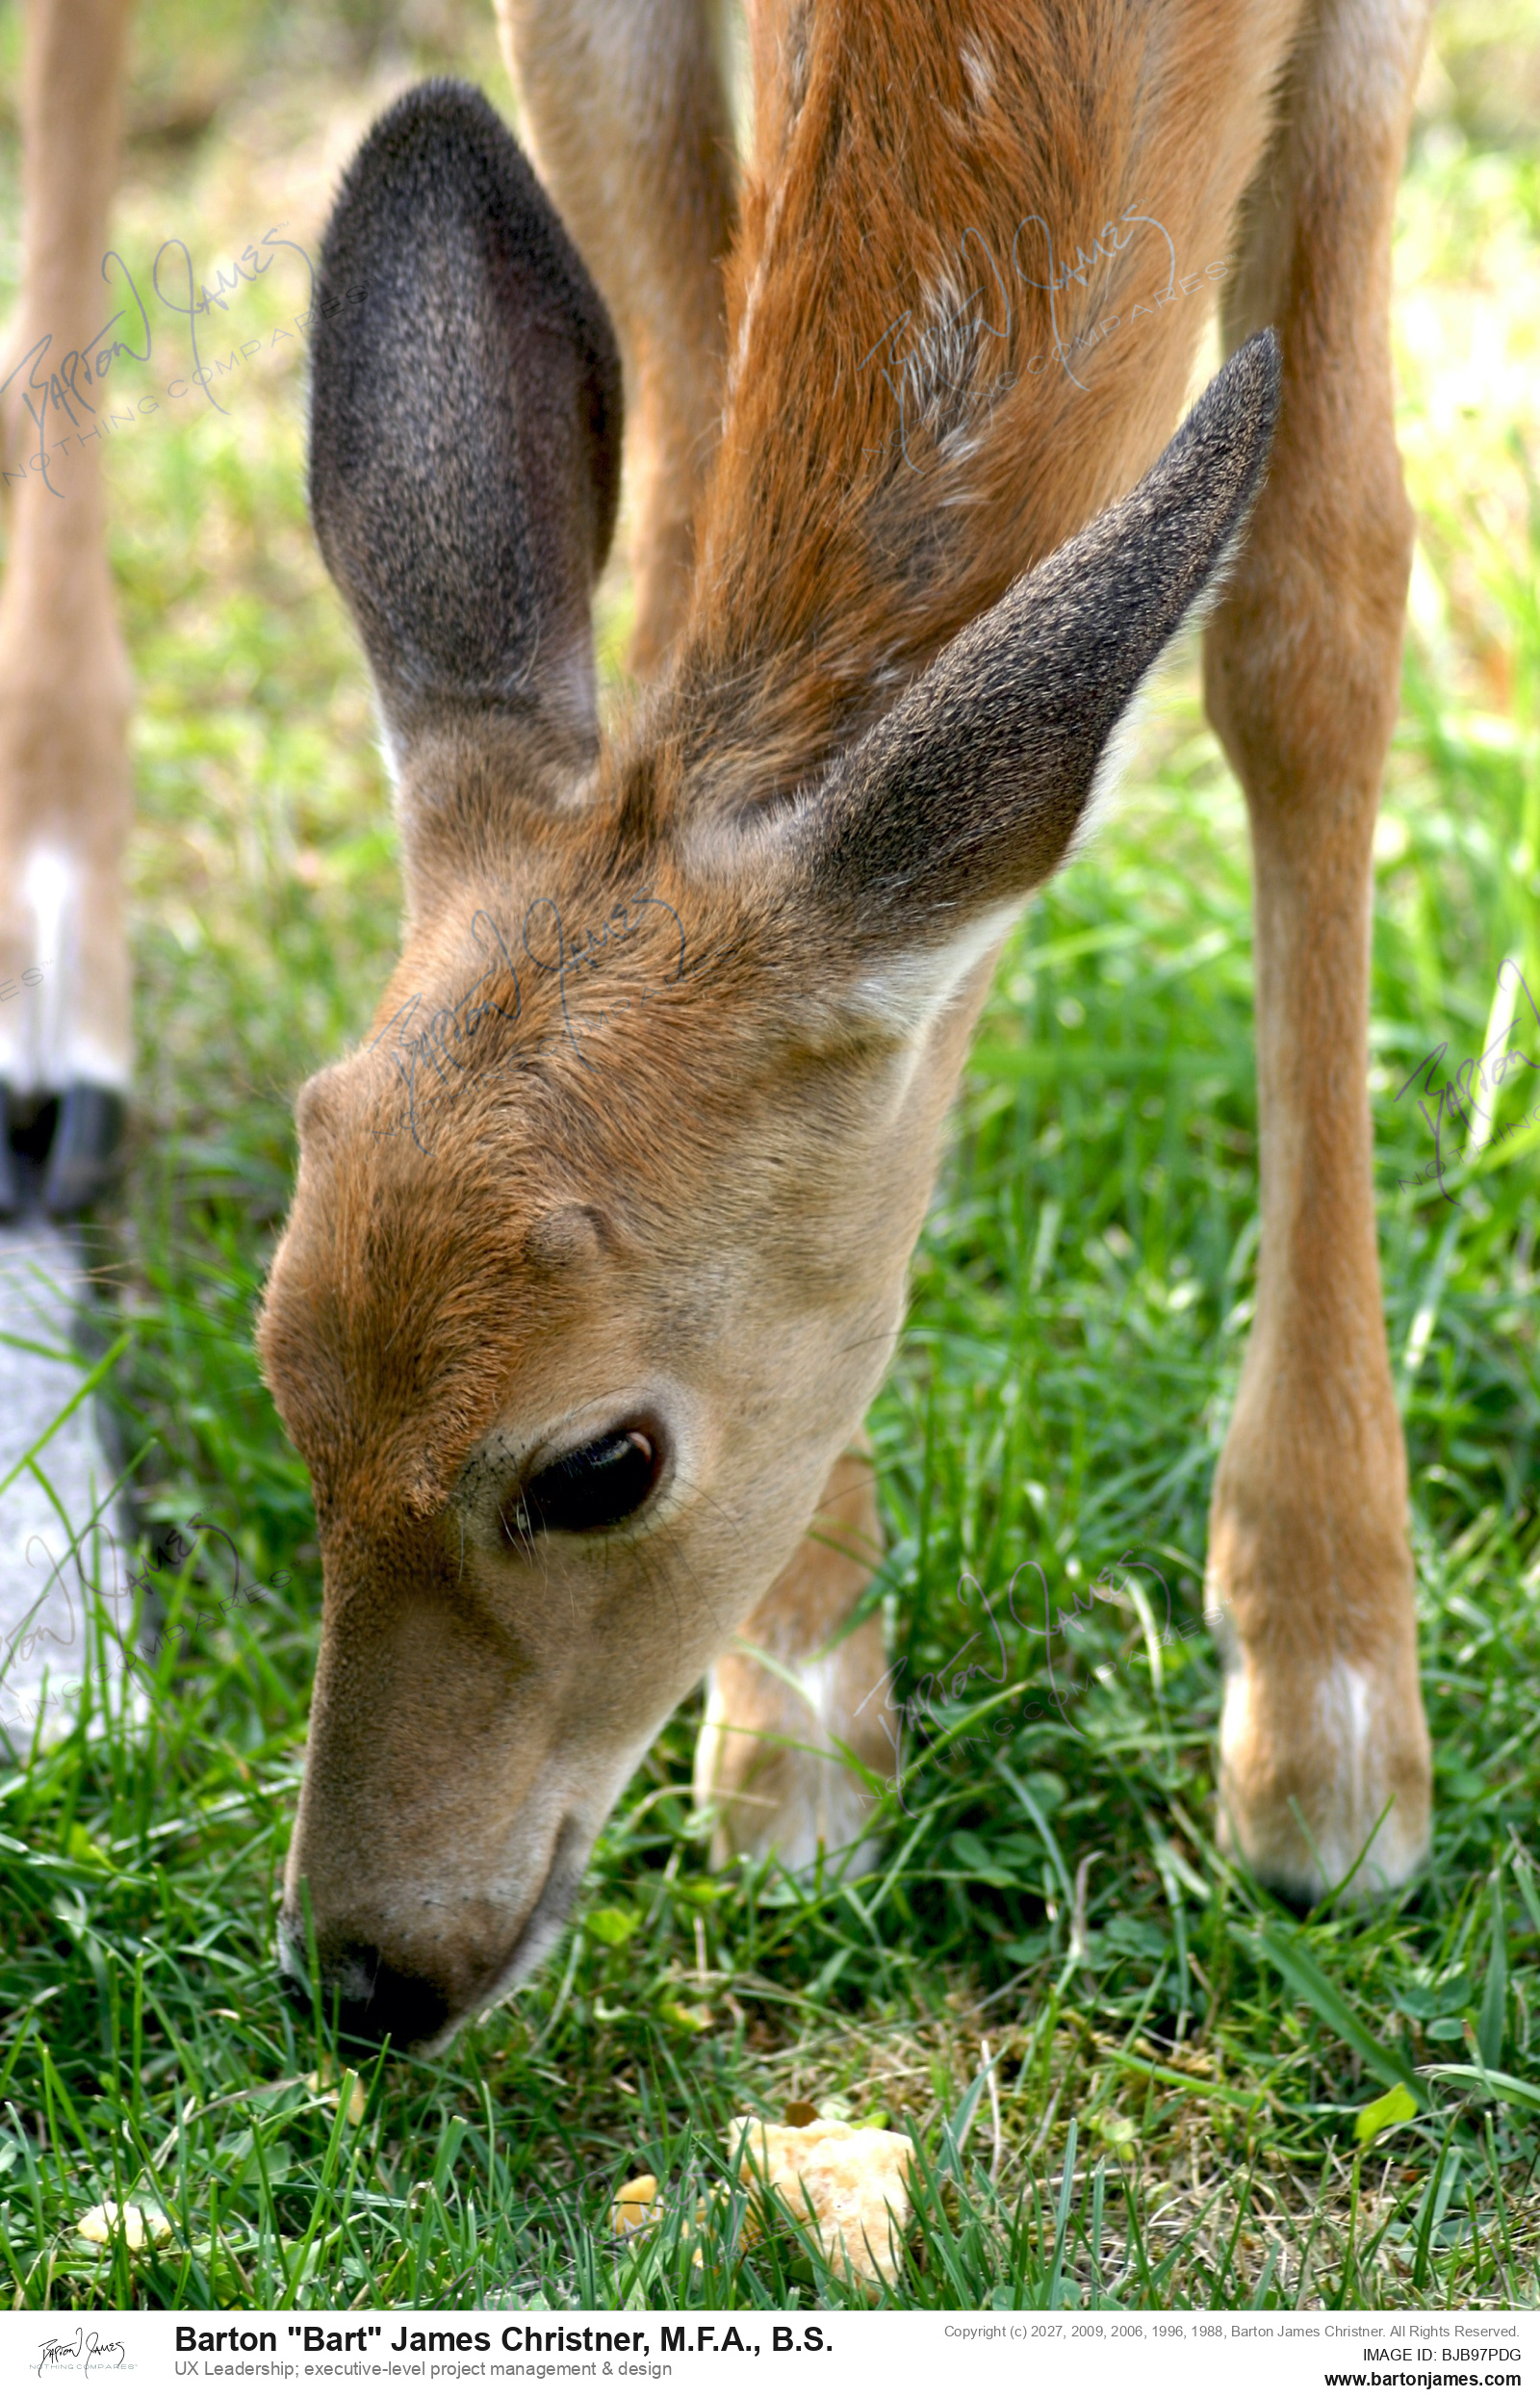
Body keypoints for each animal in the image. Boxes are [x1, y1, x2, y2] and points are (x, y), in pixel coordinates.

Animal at [0, 0, 1433, 2054]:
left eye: (601, 1464)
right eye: (285, 1378)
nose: (361, 1967)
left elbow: (1314, 604)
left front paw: (1330, 1735)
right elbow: (688, 489)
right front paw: (800, 1722)